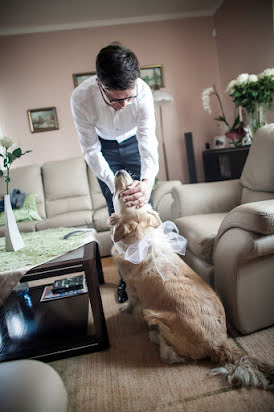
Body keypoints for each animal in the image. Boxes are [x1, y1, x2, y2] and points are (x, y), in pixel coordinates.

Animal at [109, 168, 274, 390]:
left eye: (123, 194)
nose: (119, 170)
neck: (141, 236)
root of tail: (219, 343)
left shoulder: (133, 288)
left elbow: (131, 301)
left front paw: (125, 309)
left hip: (156, 317)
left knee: (170, 355)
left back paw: (154, 336)